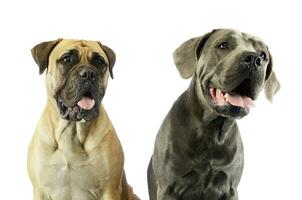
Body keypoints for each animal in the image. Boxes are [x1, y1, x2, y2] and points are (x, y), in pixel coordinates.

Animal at [27, 39, 139, 200]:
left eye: (99, 61)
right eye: (67, 59)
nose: (89, 74)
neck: (71, 131)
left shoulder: (109, 190)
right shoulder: (40, 190)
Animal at [147, 28, 280, 200]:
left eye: (263, 55)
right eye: (223, 45)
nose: (254, 59)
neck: (211, 130)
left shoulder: (230, 189)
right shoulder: (168, 188)